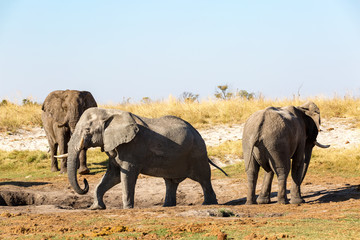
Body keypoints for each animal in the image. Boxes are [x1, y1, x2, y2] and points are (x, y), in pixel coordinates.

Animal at [66, 108, 226, 209]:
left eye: (87, 130)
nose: (84, 181)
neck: (110, 112)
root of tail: (198, 133)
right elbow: (113, 176)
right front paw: (96, 208)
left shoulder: (132, 147)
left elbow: (127, 175)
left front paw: (127, 208)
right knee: (171, 182)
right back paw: (167, 206)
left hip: (197, 153)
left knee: (203, 178)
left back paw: (208, 204)